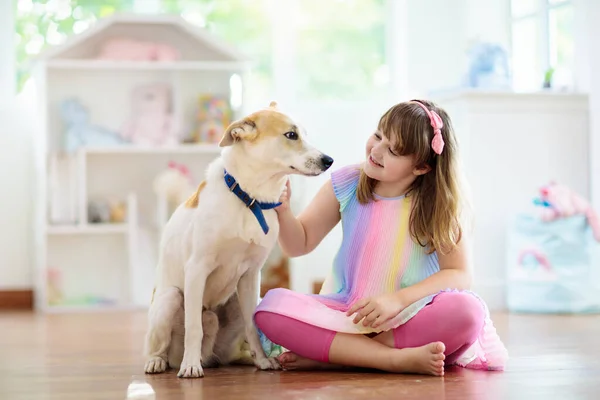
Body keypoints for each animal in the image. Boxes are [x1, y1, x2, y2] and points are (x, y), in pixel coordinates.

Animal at [144, 101, 336, 376]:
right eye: (291, 135)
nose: (329, 160)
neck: (249, 199)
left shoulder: (251, 275)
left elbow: (252, 325)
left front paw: (264, 360)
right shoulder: (197, 268)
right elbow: (194, 327)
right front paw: (190, 366)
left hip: (241, 301)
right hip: (170, 298)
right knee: (162, 345)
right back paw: (161, 361)